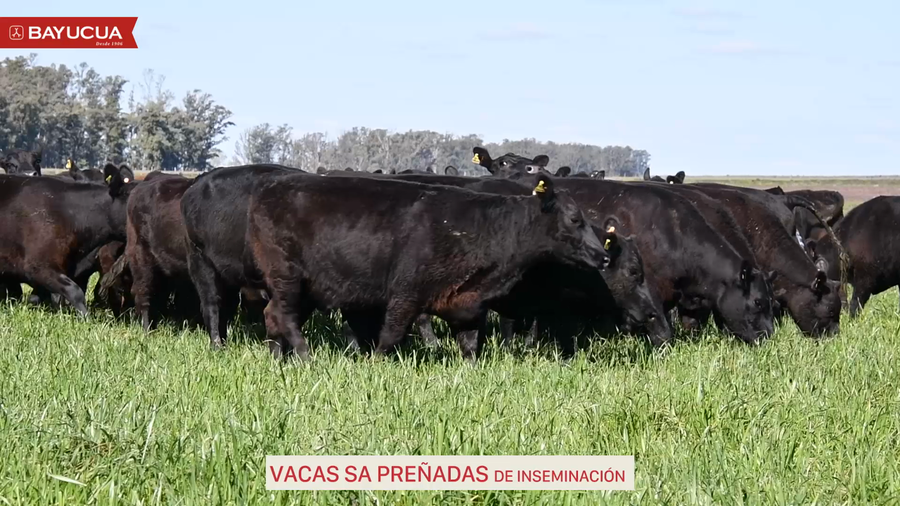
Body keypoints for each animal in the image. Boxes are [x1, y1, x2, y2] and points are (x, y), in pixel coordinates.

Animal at [246, 172, 609, 361]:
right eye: (575, 219)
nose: (604, 257)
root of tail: (272, 187)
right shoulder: (405, 294)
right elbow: (390, 336)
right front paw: (376, 364)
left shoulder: (469, 304)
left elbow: (470, 346)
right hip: (288, 277)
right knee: (286, 318)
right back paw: (305, 356)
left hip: (305, 287)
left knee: (273, 316)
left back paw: (278, 358)